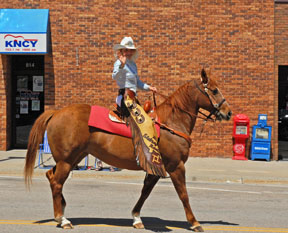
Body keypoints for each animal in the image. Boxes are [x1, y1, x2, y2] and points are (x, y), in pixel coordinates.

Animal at [24, 68, 232, 232]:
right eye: (214, 90)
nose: (228, 112)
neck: (171, 122)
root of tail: (56, 112)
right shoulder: (176, 166)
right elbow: (183, 195)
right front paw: (195, 222)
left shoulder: (156, 168)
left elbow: (145, 192)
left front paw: (136, 218)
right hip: (67, 161)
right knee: (57, 182)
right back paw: (63, 218)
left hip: (73, 158)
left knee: (51, 176)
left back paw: (62, 209)